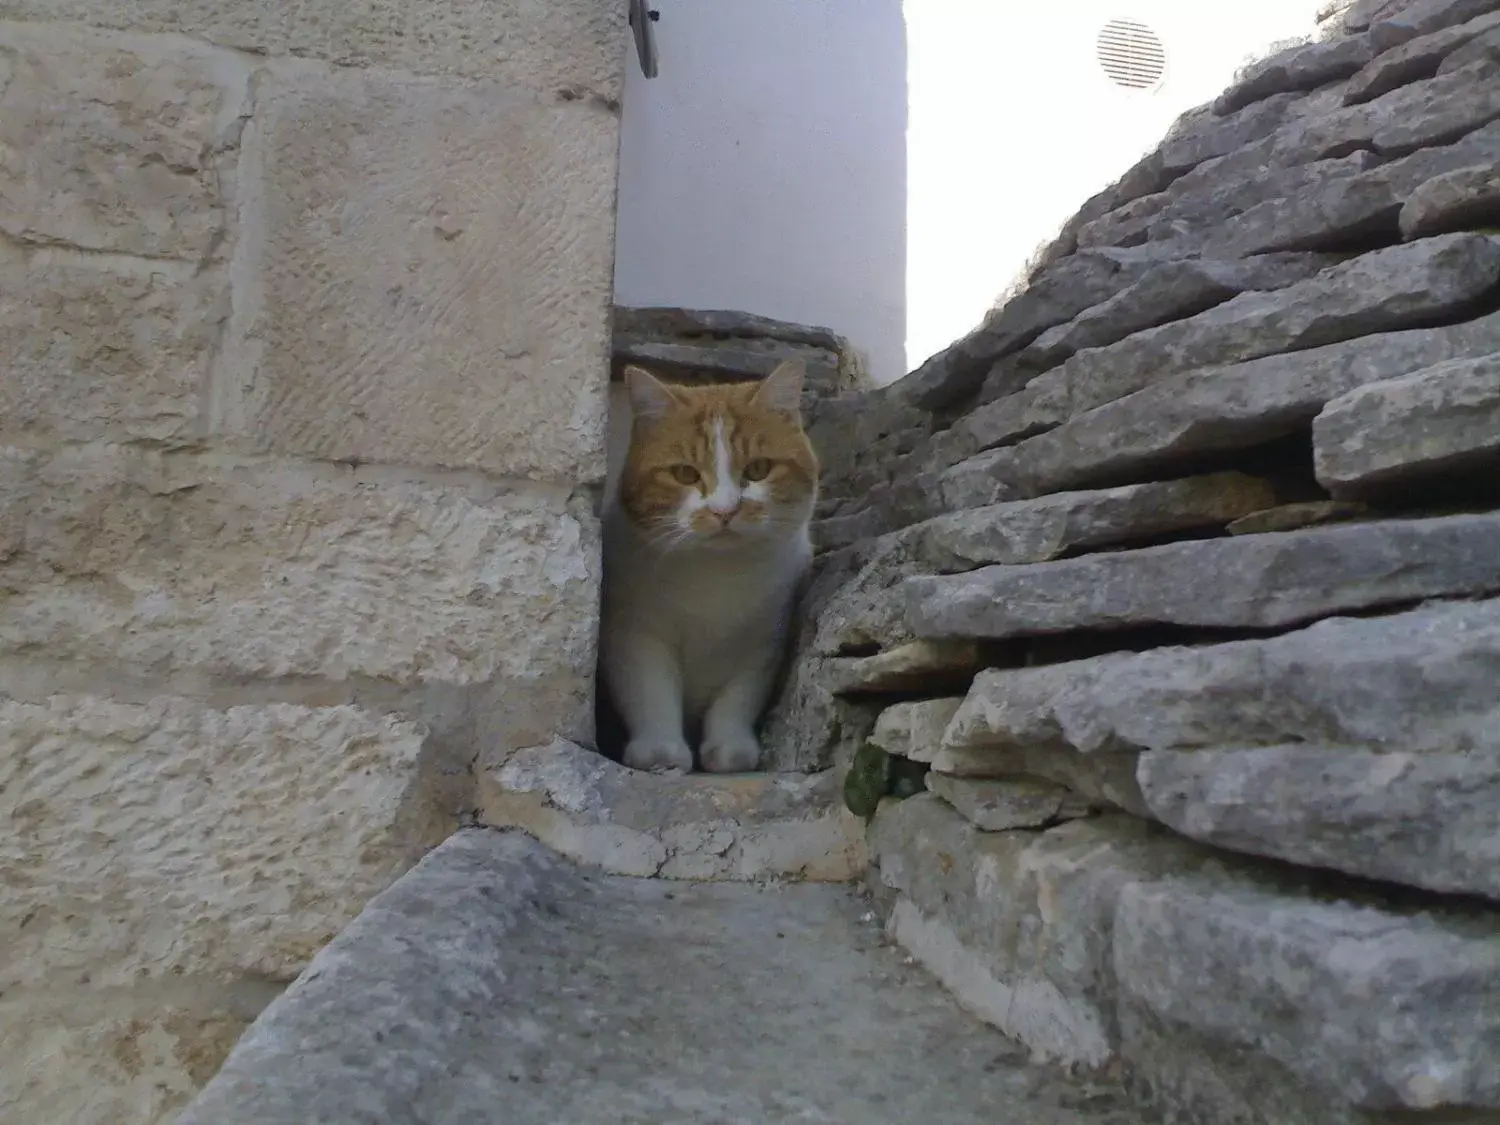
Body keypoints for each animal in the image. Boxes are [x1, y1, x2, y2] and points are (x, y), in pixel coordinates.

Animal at [597, 361, 822, 774]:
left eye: (759, 468)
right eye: (685, 474)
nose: (725, 510)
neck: (716, 577)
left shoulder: (763, 643)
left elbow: (738, 699)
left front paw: (730, 746)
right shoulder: (634, 634)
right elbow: (649, 691)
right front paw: (661, 748)